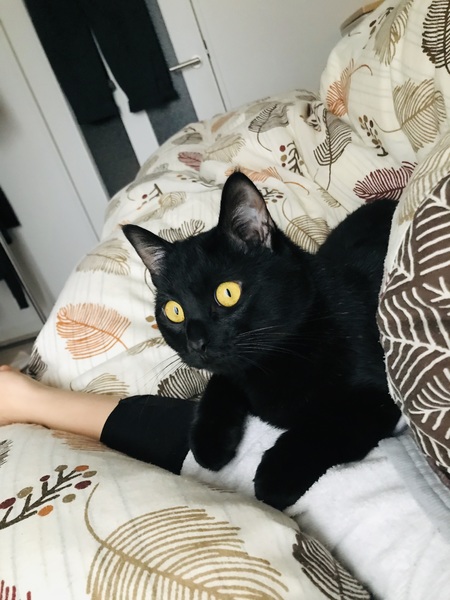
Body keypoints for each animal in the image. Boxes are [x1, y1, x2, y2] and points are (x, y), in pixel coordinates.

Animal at [123, 171, 401, 510]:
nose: (196, 343)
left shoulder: (377, 398)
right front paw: (209, 442)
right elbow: (217, 385)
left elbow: (324, 426)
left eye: (228, 293)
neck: (272, 362)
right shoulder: (233, 370)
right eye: (174, 311)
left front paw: (276, 474)